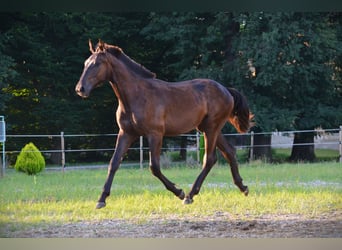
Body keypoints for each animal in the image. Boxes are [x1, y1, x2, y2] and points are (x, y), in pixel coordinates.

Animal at [75, 40, 252, 209]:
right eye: (85, 63)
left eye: (97, 63)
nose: (80, 89)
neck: (137, 96)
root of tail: (227, 90)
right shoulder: (126, 133)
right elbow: (114, 163)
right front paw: (101, 200)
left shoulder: (155, 134)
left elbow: (154, 167)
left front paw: (179, 192)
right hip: (209, 129)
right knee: (229, 152)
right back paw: (243, 187)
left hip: (211, 128)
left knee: (209, 159)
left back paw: (189, 195)